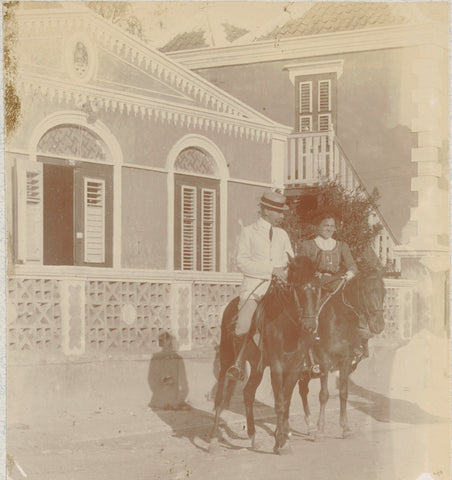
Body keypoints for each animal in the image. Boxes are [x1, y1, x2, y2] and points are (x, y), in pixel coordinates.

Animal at [209, 255, 318, 454]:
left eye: (317, 287)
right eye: (297, 288)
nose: (309, 327)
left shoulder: (295, 366)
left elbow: (286, 402)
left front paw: (283, 438)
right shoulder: (276, 365)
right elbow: (280, 403)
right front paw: (280, 442)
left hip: (257, 366)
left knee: (248, 393)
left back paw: (253, 437)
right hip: (228, 359)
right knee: (221, 397)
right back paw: (213, 440)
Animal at [298, 268, 386, 440]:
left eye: (384, 292)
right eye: (368, 291)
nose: (379, 325)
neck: (338, 320)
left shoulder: (345, 361)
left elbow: (344, 393)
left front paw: (345, 427)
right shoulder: (324, 361)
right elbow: (324, 395)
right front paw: (321, 428)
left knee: (302, 389)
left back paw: (309, 425)